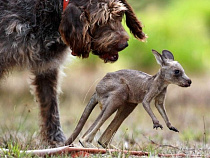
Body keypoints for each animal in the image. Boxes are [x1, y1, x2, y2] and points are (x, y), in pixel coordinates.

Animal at [0, 0, 146, 146]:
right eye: (99, 22)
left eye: (119, 15)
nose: (124, 44)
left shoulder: (47, 68)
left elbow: (50, 106)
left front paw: (56, 141)